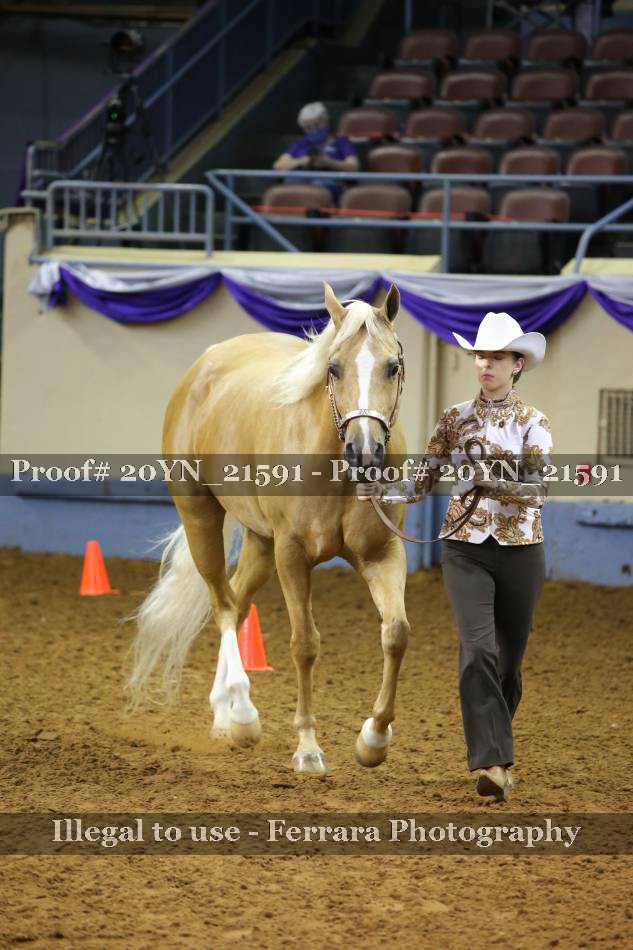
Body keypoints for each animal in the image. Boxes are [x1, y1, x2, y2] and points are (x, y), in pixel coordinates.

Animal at [127, 282, 411, 776]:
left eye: (392, 366)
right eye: (333, 368)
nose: (364, 451)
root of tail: (206, 363)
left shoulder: (382, 553)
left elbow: (395, 633)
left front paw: (373, 739)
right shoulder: (292, 555)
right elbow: (304, 645)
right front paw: (308, 748)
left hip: (260, 542)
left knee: (238, 602)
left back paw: (224, 713)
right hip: (200, 517)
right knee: (222, 604)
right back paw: (242, 716)